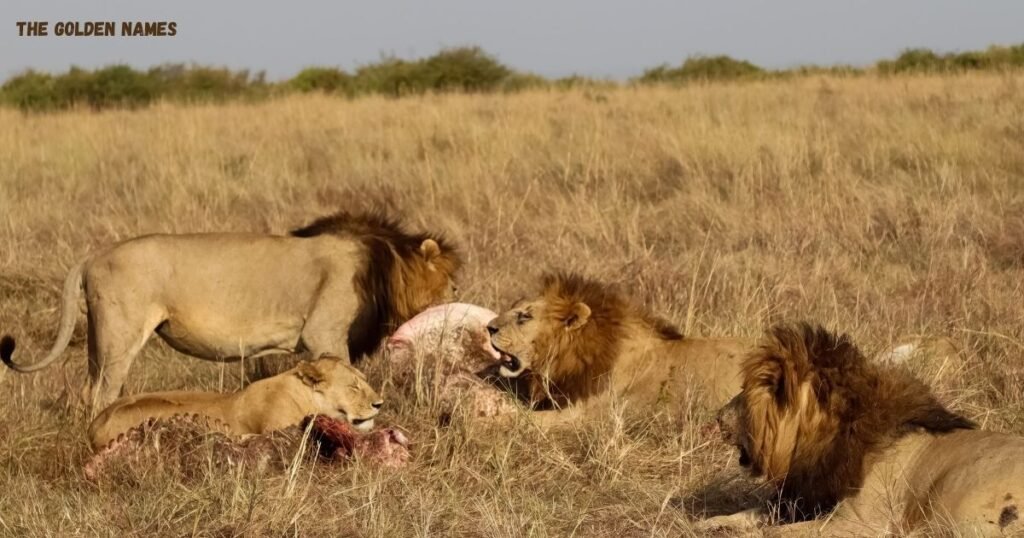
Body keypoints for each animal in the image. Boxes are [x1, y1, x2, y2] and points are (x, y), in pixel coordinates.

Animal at [1, 210, 460, 411]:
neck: (384, 264)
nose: (462, 295)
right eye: (452, 282)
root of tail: (91, 256)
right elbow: (343, 379)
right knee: (101, 394)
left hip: (98, 340)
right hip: (120, 335)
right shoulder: (324, 334)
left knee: (86, 390)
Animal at [705, 323, 1024, 536]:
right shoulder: (808, 498)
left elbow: (775, 532)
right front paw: (709, 523)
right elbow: (752, 512)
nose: (718, 417)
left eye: (745, 394)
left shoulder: (857, 523)